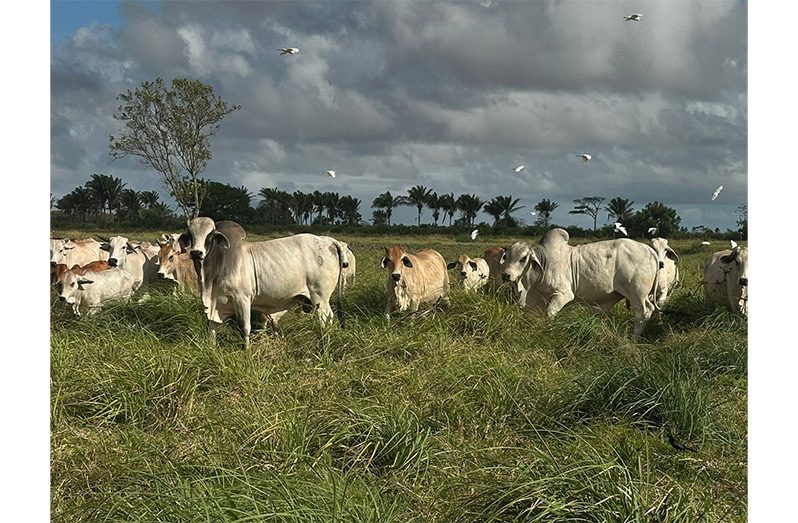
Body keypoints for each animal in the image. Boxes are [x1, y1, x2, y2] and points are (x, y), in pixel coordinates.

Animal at [178, 217, 348, 347]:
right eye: (190, 234)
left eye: (210, 234)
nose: (196, 253)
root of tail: (329, 240)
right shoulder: (218, 302)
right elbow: (212, 329)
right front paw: (210, 348)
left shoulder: (242, 298)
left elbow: (245, 327)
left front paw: (246, 350)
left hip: (320, 298)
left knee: (326, 319)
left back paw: (325, 343)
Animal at [501, 228, 660, 339]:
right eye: (506, 257)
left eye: (523, 258)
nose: (506, 275)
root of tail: (648, 249)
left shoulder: (562, 295)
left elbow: (550, 313)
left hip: (637, 294)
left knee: (642, 313)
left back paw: (634, 339)